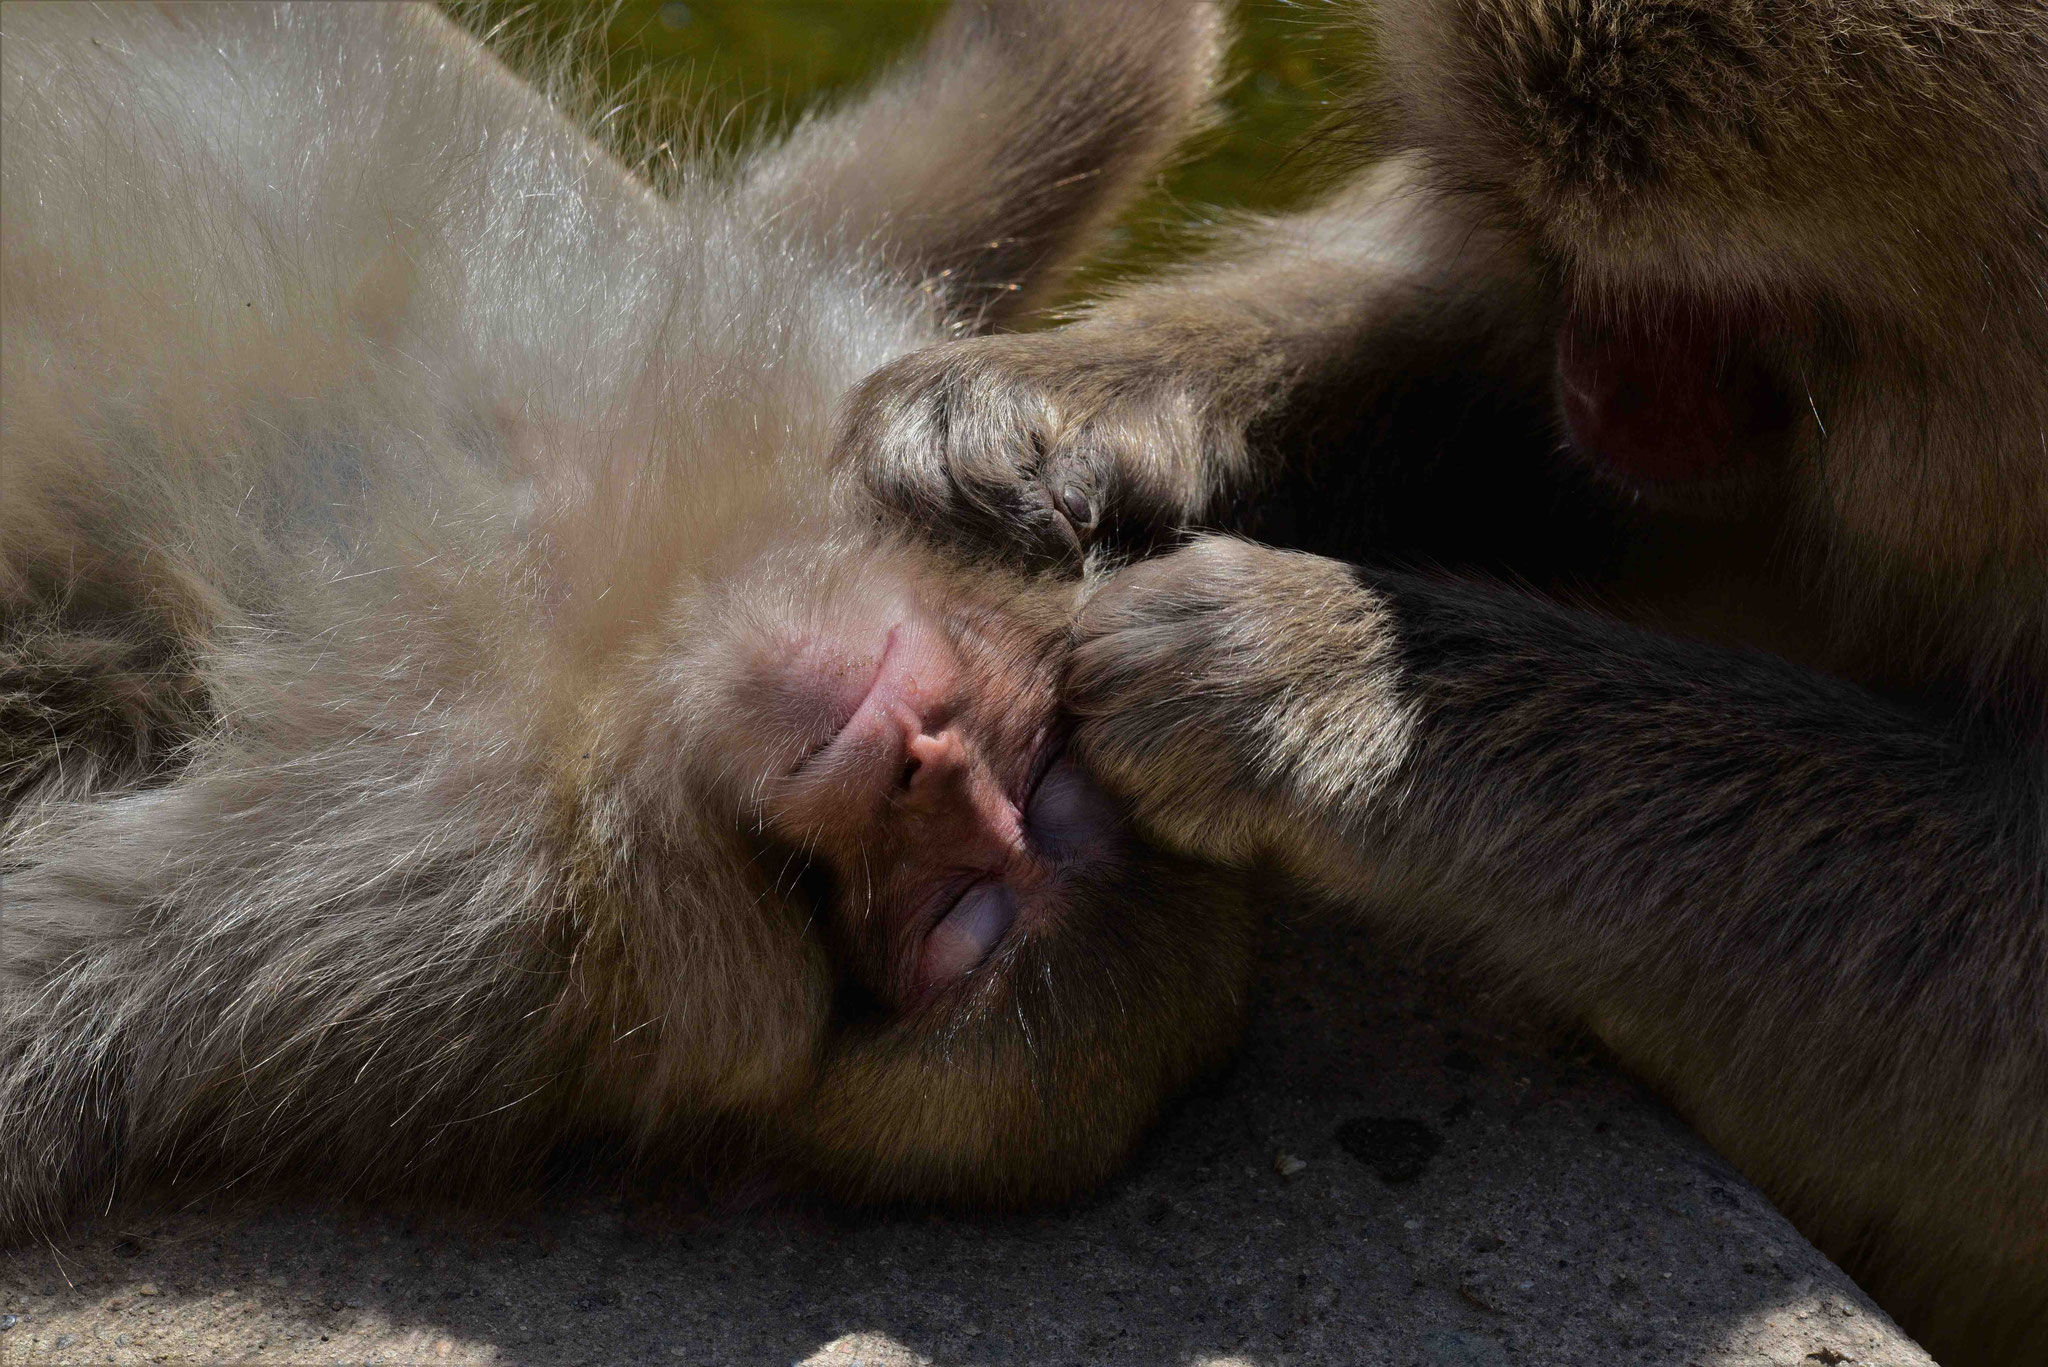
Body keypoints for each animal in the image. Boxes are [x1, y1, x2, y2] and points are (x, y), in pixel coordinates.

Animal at [831, 2, 2048, 1367]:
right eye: (1552, 237)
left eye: (1722, 300)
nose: (1596, 383)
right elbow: (1491, 359)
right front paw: (1072, 399)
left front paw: (1312, 673)